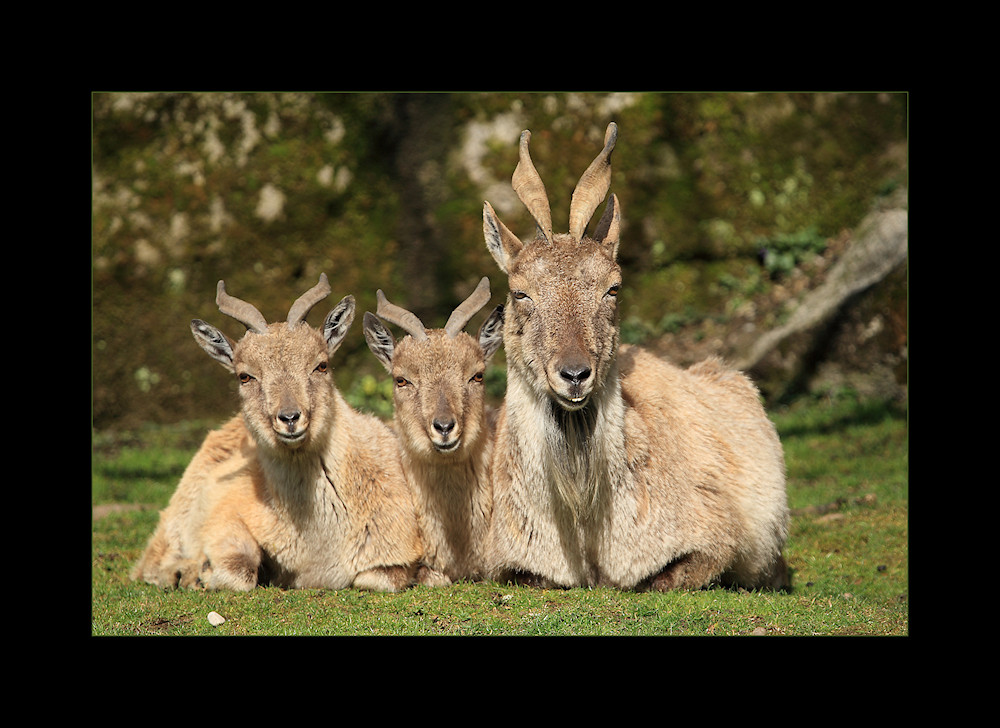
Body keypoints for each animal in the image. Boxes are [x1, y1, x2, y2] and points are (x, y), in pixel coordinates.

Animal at [130, 272, 422, 592]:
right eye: (245, 376)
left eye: (321, 365)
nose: (290, 418)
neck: (319, 542)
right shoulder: (227, 514)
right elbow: (238, 572)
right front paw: (202, 571)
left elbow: (378, 579)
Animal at [482, 123, 788, 592]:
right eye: (520, 292)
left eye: (613, 287)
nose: (575, 374)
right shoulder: (507, 562)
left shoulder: (715, 538)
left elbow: (664, 577)